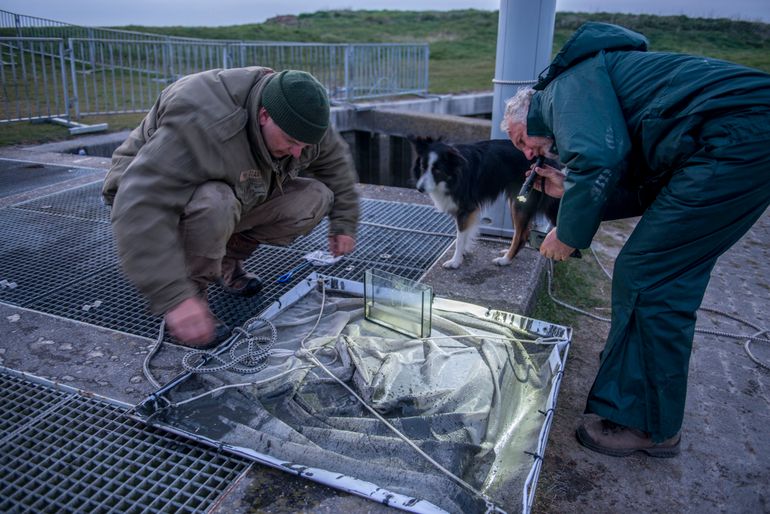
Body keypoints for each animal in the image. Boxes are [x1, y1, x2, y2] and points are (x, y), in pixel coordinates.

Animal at [408, 136, 560, 270]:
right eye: (422, 167)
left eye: (437, 170)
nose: (419, 188)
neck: (453, 175)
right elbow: (465, 234)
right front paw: (463, 253)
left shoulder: (465, 209)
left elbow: (459, 238)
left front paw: (455, 262)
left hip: (521, 200)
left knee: (521, 235)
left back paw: (505, 260)